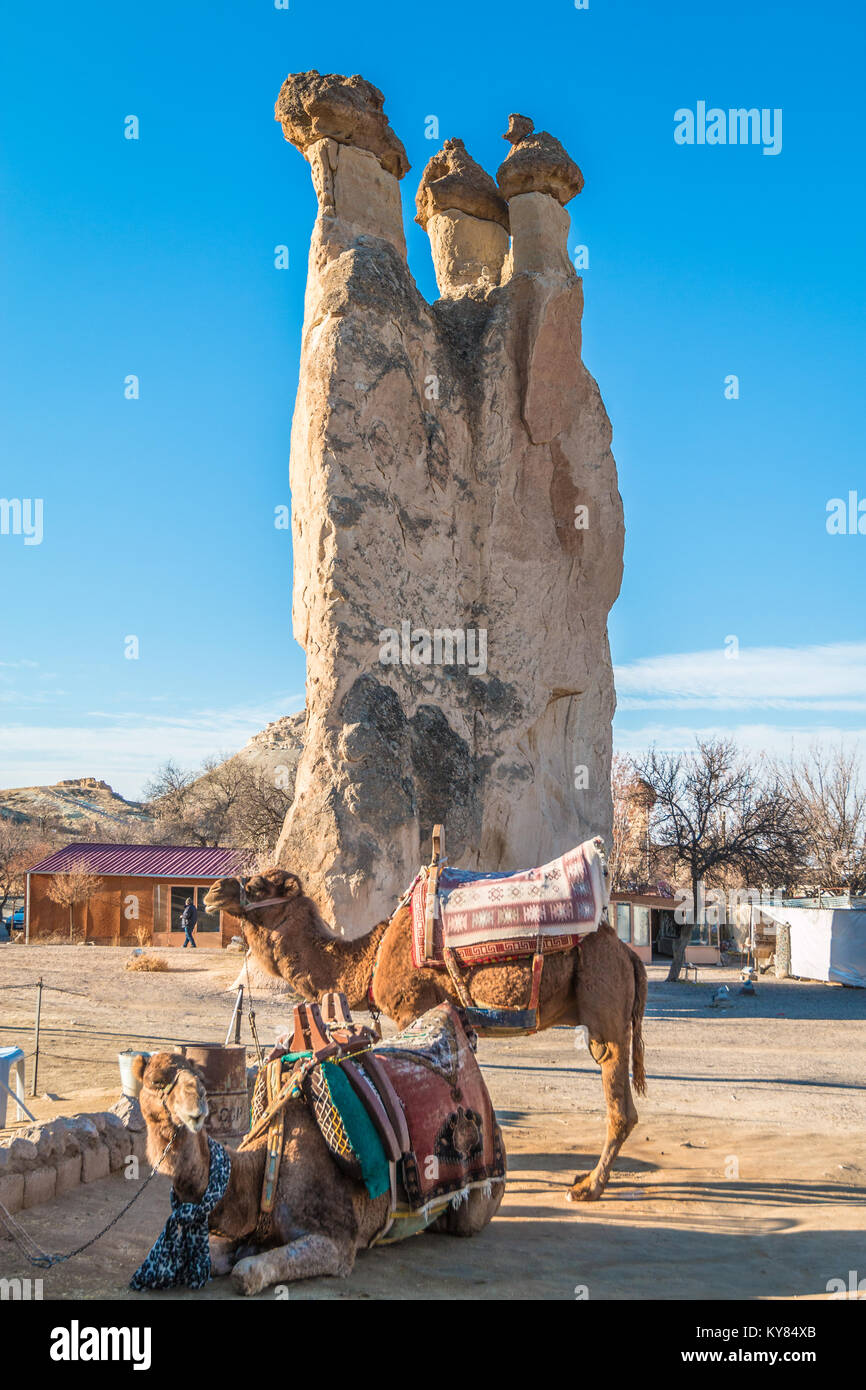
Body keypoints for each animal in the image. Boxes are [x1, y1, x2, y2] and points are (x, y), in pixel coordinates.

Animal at [132, 1050, 505, 1289]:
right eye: (155, 1082)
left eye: (200, 1081)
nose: (197, 1111)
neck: (264, 1173)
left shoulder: (338, 1242)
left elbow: (245, 1273)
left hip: (479, 1196)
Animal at [207, 861, 647, 1200]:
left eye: (258, 885)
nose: (214, 891)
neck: (371, 957)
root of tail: (628, 953)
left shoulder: (411, 1009)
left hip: (603, 998)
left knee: (619, 1102)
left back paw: (588, 1187)